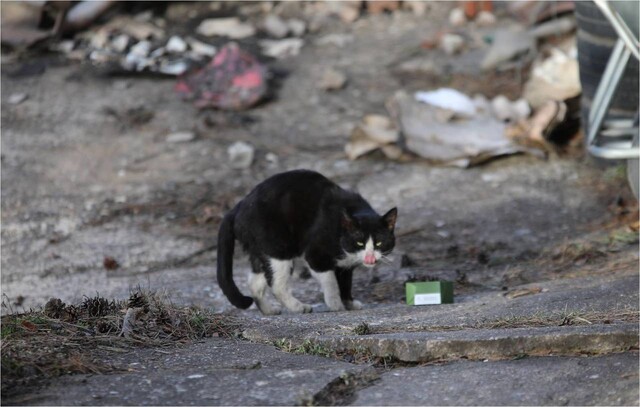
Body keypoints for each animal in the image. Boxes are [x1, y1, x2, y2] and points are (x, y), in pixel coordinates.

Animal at [216, 169, 396, 316]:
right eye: (359, 243)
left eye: (379, 243)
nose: (370, 258)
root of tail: (237, 207)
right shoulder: (316, 255)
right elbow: (331, 282)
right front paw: (336, 305)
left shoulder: (345, 267)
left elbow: (345, 284)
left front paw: (349, 304)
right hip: (279, 249)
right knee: (277, 285)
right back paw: (299, 307)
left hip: (261, 252)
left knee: (255, 282)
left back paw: (269, 311)